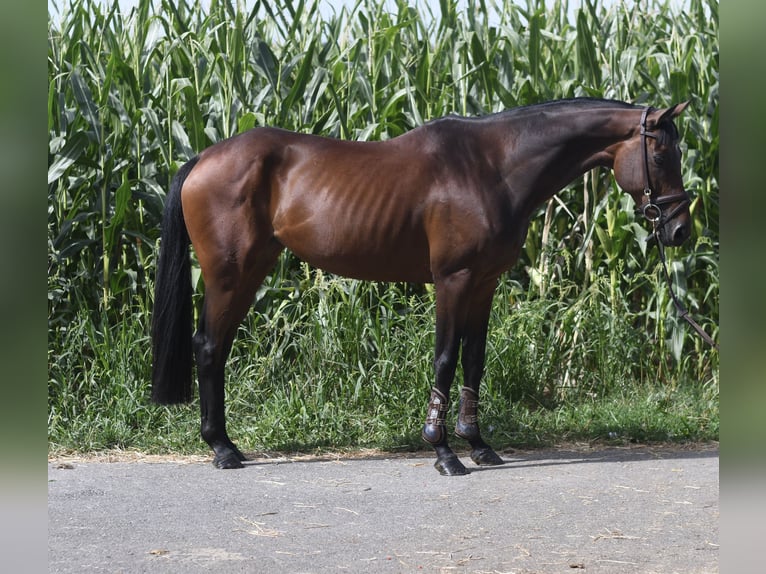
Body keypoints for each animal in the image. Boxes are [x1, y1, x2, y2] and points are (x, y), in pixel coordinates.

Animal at [151, 98, 692, 475]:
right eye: (662, 152)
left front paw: (479, 445)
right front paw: (443, 451)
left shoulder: (484, 284)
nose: (680, 230)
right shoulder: (453, 280)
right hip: (231, 274)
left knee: (216, 347)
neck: (494, 167)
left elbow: (475, 360)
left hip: (251, 270)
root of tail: (203, 158)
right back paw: (222, 448)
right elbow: (446, 359)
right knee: (209, 346)